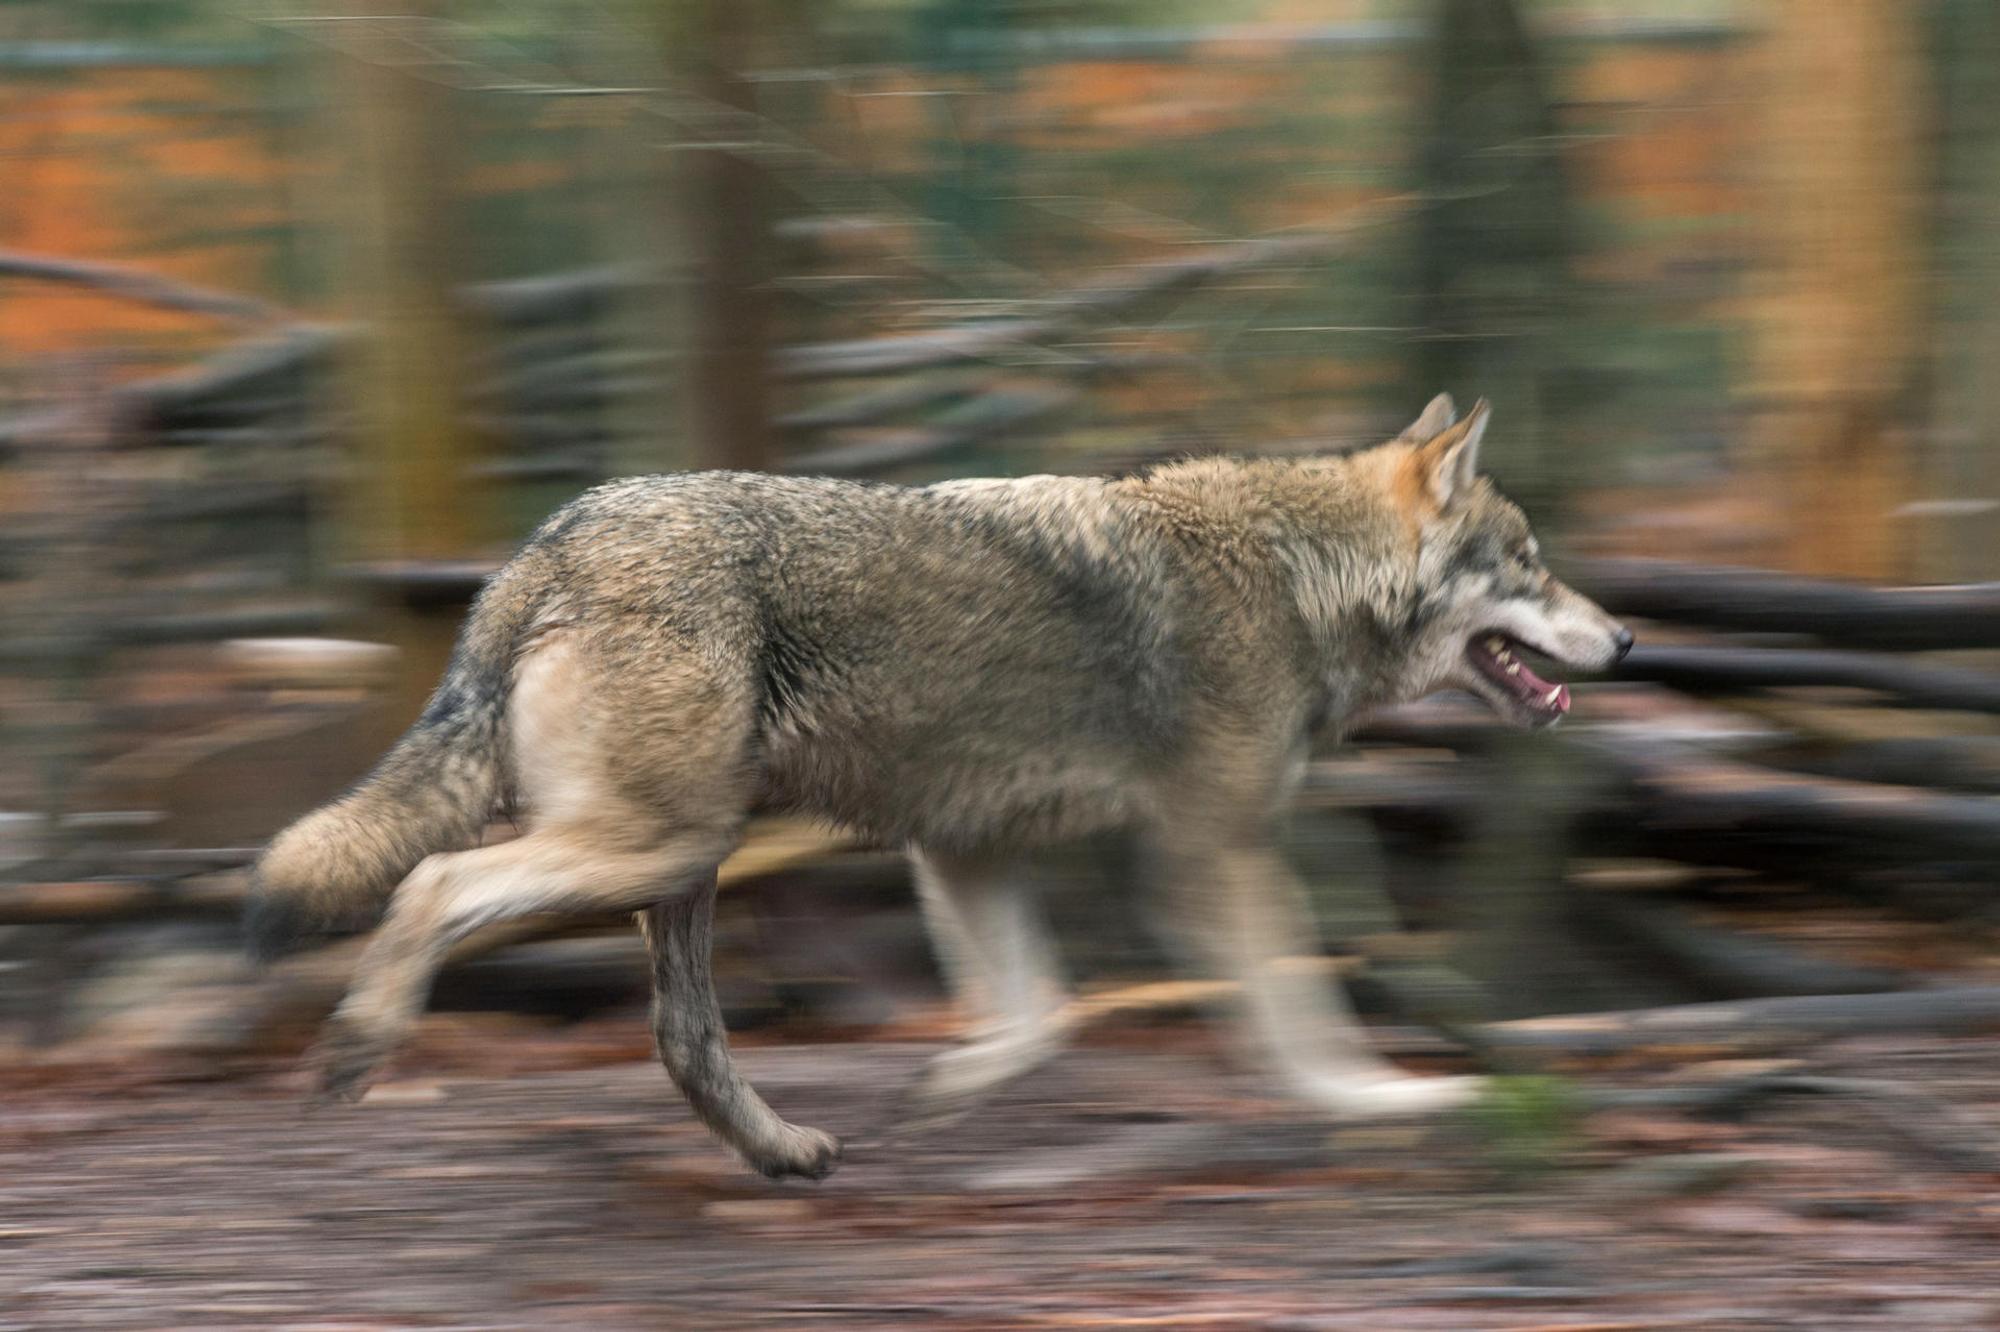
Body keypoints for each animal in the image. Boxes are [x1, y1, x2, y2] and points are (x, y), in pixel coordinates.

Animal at [246, 394, 1630, 1180]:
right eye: (1528, 565)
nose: (1622, 641)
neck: (1297, 577)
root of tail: (547, 543)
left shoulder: (965, 845)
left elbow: (1039, 1015)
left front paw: (949, 1086)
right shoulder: (1214, 850)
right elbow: (1298, 1019)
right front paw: (1377, 1098)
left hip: (683, 862)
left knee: (683, 1040)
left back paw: (783, 1155)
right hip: (652, 846)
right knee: (432, 884)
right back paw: (355, 1049)